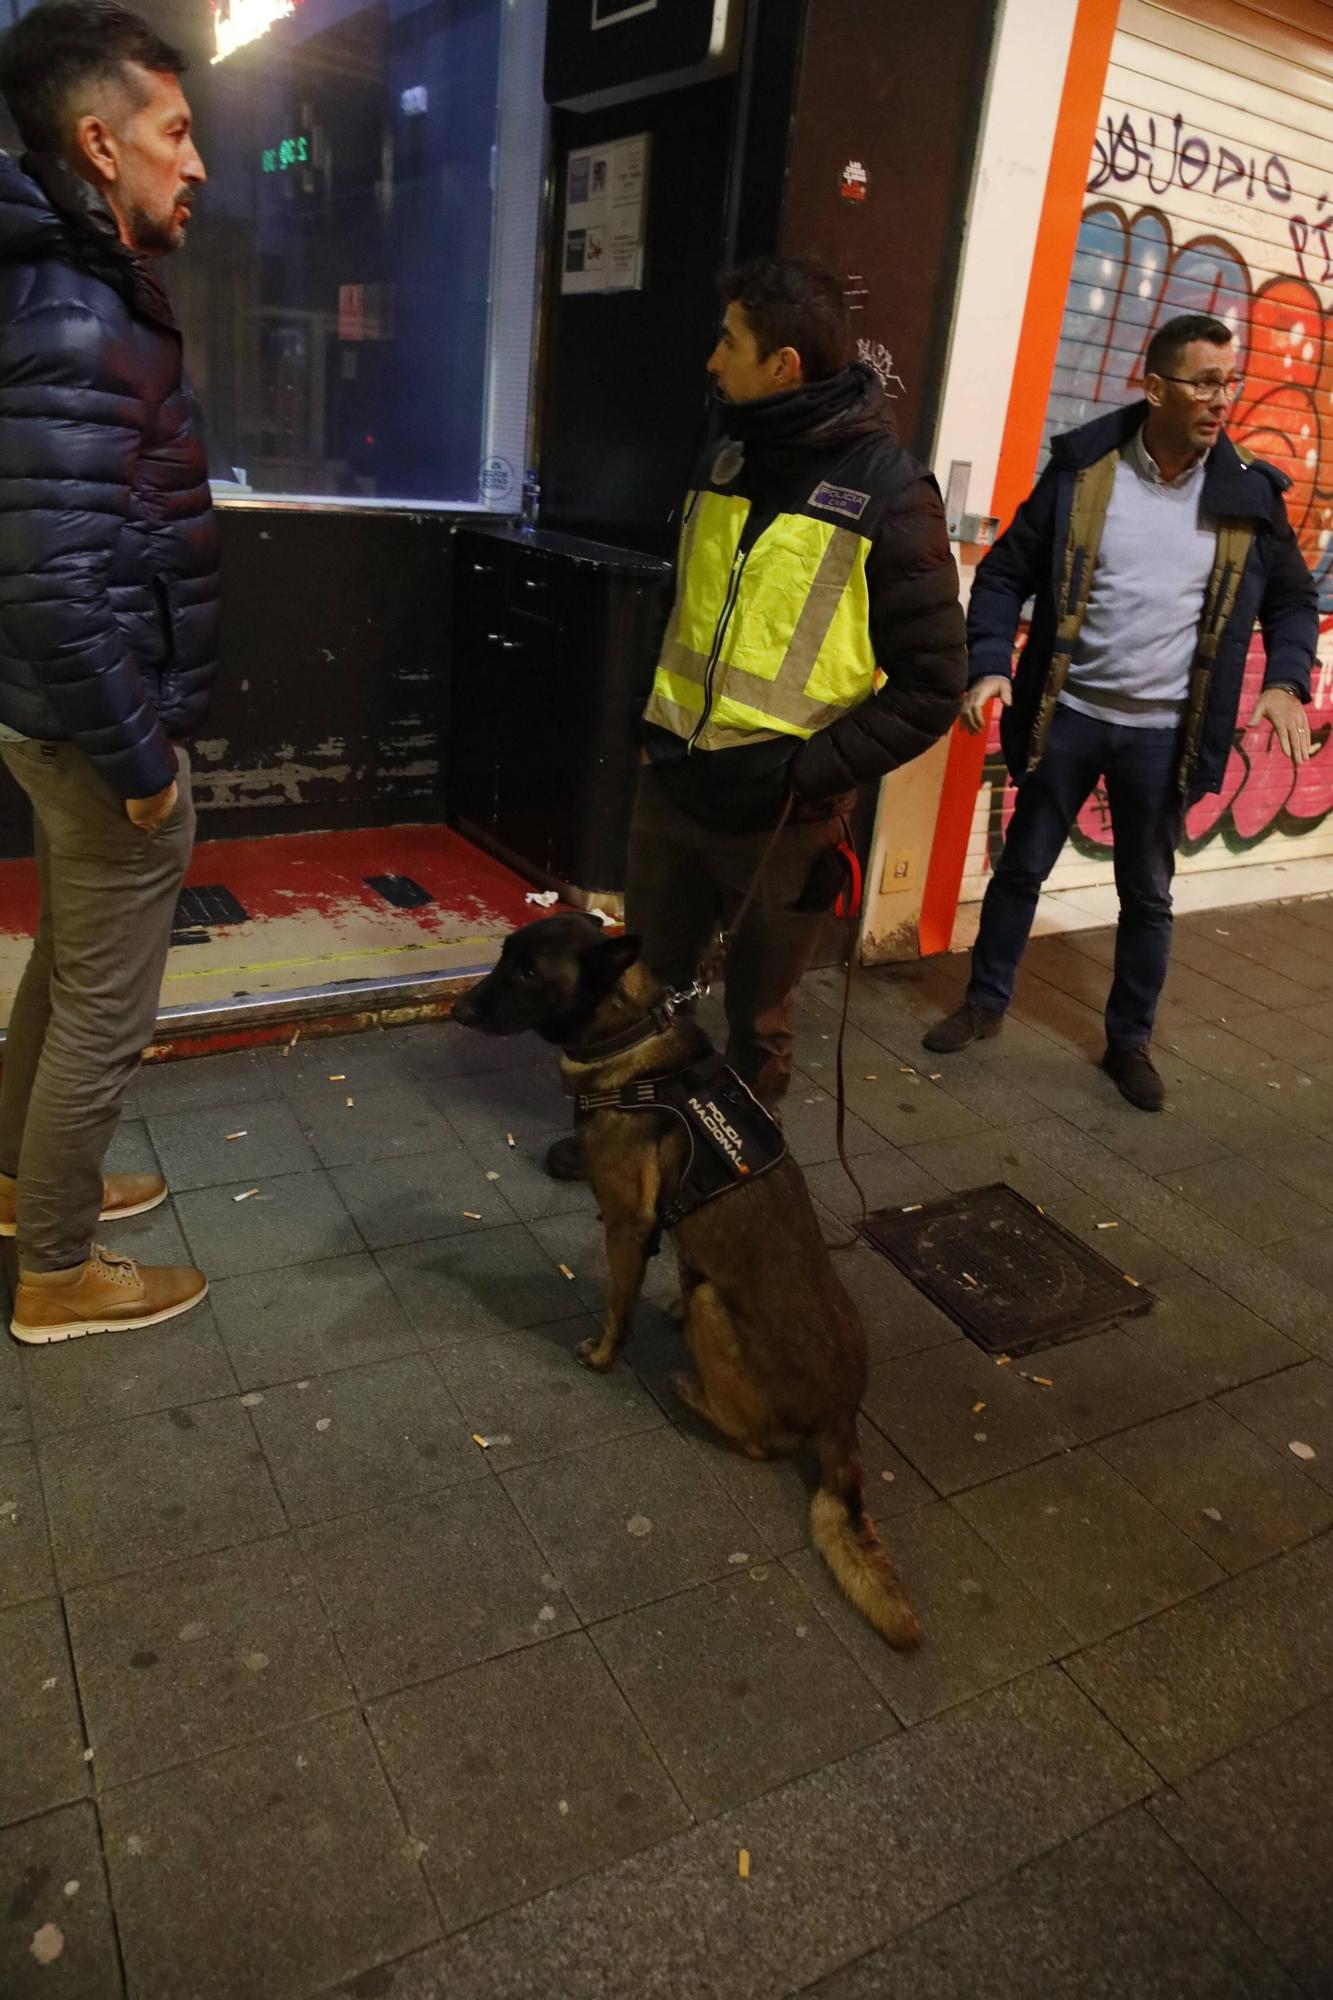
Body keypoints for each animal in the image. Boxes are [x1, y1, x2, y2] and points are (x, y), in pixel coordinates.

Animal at [452, 916, 920, 1648]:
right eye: (504, 957)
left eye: (529, 972)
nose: (458, 1010)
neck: (629, 1035)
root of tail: (842, 1414)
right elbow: (674, 1266)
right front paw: (661, 1306)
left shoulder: (625, 1223)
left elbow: (618, 1307)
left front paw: (604, 1356)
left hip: (716, 1312)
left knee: (758, 1442)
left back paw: (693, 1391)